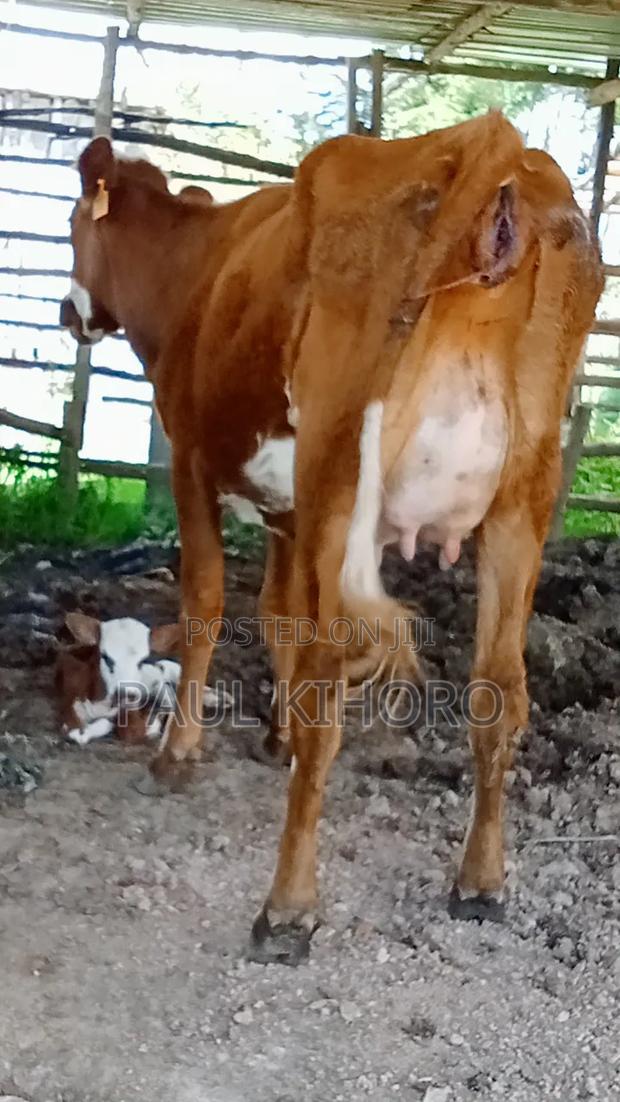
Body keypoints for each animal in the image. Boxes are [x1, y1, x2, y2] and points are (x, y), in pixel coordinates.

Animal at [60, 113, 603, 964]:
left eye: (73, 225)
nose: (66, 312)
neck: (196, 270)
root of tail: (494, 145)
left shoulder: (192, 461)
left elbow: (208, 603)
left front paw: (179, 753)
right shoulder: (289, 512)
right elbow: (278, 612)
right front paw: (273, 735)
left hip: (340, 476)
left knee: (330, 692)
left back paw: (288, 908)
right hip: (521, 502)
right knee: (501, 690)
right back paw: (480, 882)